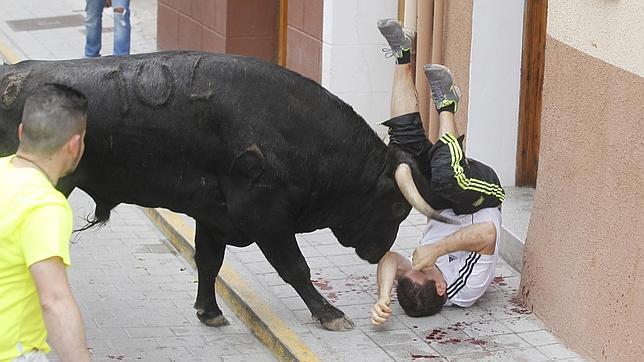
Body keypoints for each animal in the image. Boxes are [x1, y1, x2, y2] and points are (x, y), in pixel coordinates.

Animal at [0, 51, 448, 330]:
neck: (303, 138)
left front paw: (209, 312)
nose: (378, 254)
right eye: (397, 209)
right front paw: (329, 313)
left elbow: (209, 261)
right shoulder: (266, 217)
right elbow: (295, 268)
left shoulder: (214, 215)